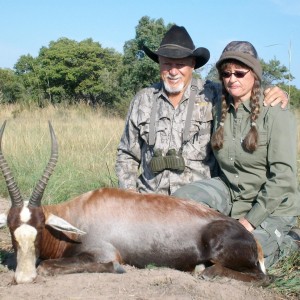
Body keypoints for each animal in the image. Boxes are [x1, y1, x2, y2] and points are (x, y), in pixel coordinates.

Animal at [0, 120, 268, 284]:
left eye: (40, 226)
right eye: (11, 229)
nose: (23, 277)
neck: (80, 213)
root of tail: (253, 240)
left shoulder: (103, 253)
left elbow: (47, 266)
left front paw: (118, 269)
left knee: (262, 277)